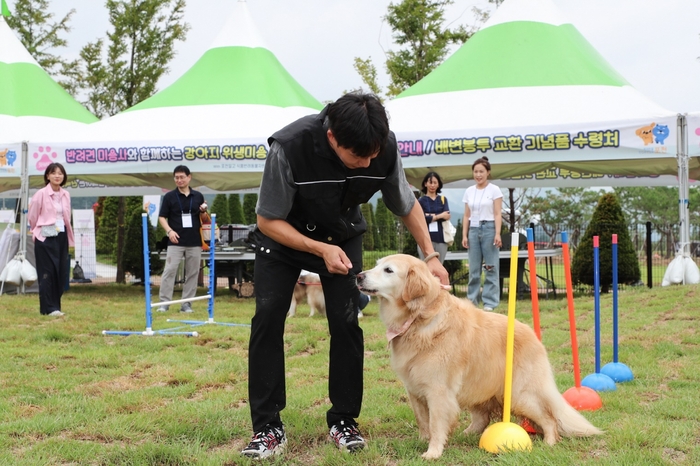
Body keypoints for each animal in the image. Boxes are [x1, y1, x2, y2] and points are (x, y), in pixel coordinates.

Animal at [356, 255, 600, 458]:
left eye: (388, 270)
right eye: (376, 265)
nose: (358, 276)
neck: (418, 318)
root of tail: (533, 336)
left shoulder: (438, 391)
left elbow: (435, 423)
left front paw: (433, 452)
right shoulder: (414, 389)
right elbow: (422, 420)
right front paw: (423, 441)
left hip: (519, 394)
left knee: (548, 417)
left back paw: (549, 442)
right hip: (477, 385)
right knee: (483, 417)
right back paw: (469, 433)